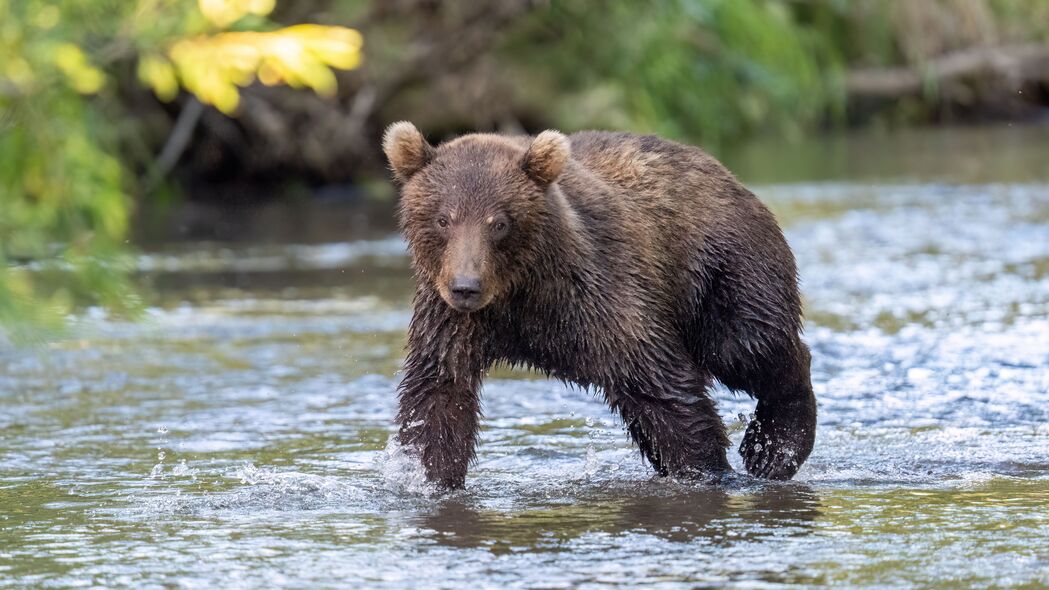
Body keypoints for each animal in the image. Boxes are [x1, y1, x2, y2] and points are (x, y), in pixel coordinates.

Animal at [386, 121, 818, 489]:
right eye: (443, 219)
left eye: (500, 223)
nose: (466, 286)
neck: (520, 290)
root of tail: (724, 172)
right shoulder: (452, 319)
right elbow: (439, 393)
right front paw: (427, 477)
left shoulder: (598, 293)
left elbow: (659, 383)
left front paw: (706, 468)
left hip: (720, 264)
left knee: (745, 344)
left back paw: (774, 449)